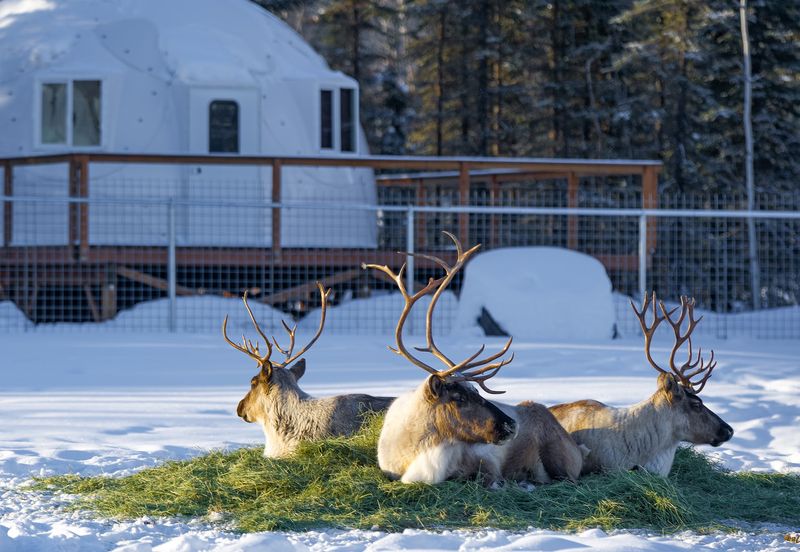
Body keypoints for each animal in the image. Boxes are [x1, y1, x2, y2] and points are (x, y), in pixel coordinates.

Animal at [365, 232, 583, 486]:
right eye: (459, 398)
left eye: (477, 391)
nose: (512, 425)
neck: (415, 451)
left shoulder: (487, 464)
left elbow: (491, 479)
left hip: (558, 457)